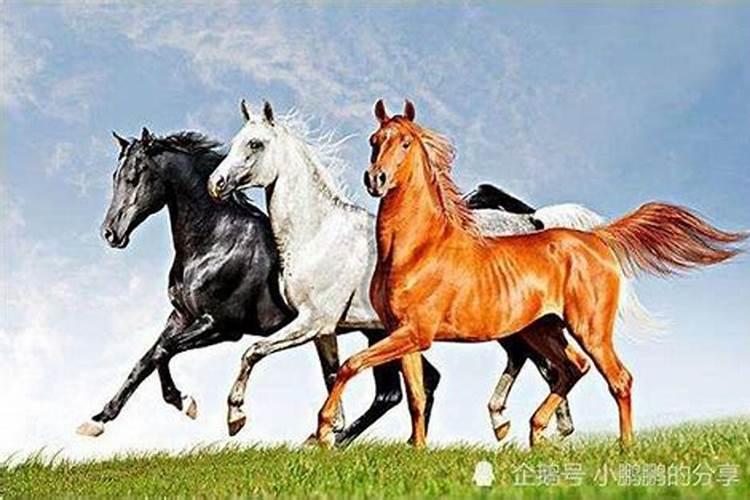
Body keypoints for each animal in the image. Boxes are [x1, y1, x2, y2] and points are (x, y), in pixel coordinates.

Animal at [77, 127, 429, 444]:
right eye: (115, 175)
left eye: (136, 176)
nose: (110, 233)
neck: (216, 240)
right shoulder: (180, 317)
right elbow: (146, 360)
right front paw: (98, 419)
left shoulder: (220, 326)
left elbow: (165, 352)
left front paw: (188, 403)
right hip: (378, 333)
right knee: (411, 386)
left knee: (393, 393)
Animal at [206, 100, 620, 443]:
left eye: (255, 144)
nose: (216, 184)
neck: (318, 232)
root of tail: (531, 222)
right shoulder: (325, 331)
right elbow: (331, 374)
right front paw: (327, 430)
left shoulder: (313, 321)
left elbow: (253, 352)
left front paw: (236, 417)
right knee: (542, 364)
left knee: (543, 365)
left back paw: (526, 426)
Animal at [314, 99, 746, 449]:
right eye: (374, 139)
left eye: (404, 143)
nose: (376, 179)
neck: (418, 248)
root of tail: (596, 238)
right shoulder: (404, 335)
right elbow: (417, 398)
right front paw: (416, 451)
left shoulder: (414, 333)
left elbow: (351, 366)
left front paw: (323, 431)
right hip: (543, 329)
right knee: (571, 368)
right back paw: (535, 432)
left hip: (588, 329)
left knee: (617, 378)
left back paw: (623, 449)